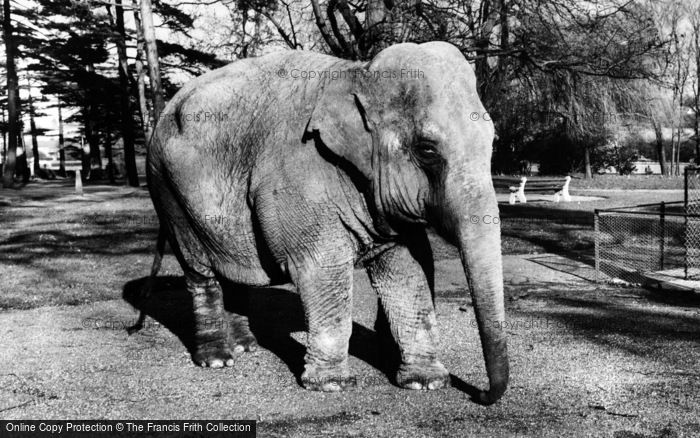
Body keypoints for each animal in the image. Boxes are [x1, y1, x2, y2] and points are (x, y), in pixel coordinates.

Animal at [146, 40, 508, 404]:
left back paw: (246, 347)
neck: (359, 72)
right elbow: (323, 267)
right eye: (427, 150)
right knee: (199, 270)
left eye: (493, 142)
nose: (481, 395)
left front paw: (426, 382)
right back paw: (217, 359)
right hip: (167, 191)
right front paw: (331, 384)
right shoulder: (301, 175)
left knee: (233, 269)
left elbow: (408, 267)